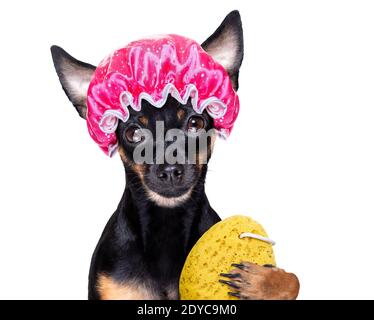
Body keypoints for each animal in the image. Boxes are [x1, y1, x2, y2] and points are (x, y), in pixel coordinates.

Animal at [51, 10, 300, 300]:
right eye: (133, 133)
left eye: (195, 123)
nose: (170, 171)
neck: (166, 225)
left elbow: (292, 279)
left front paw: (261, 280)